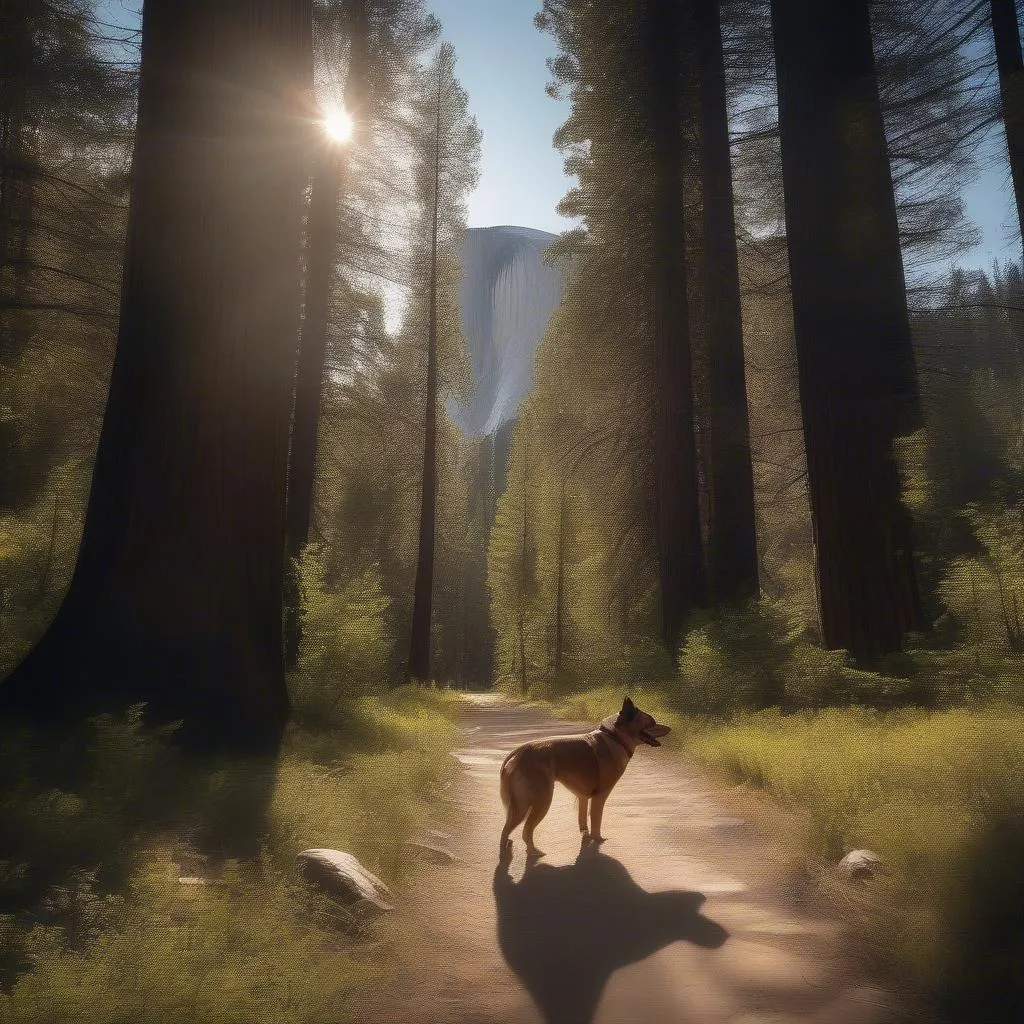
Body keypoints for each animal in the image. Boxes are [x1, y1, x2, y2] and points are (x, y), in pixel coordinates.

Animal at [497, 696, 671, 856]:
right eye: (651, 723)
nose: (670, 728)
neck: (616, 737)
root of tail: (518, 752)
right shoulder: (599, 797)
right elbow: (596, 820)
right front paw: (597, 839)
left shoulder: (583, 797)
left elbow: (582, 819)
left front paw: (585, 834)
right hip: (538, 802)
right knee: (523, 830)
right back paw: (533, 851)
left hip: (522, 804)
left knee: (506, 830)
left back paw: (508, 847)